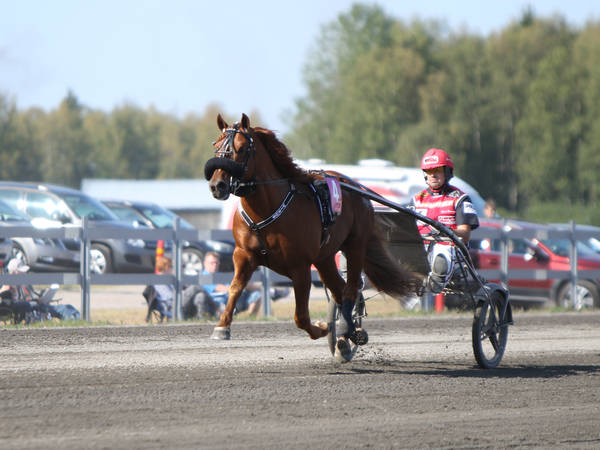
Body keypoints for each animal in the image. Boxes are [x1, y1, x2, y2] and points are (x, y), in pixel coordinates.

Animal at [204, 113, 418, 361]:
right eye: (216, 146)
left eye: (240, 148)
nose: (217, 185)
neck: (268, 209)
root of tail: (355, 187)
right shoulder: (243, 255)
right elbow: (235, 289)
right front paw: (222, 326)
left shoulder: (300, 267)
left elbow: (301, 316)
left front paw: (323, 328)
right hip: (324, 258)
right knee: (340, 289)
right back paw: (347, 335)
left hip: (355, 245)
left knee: (351, 287)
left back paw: (348, 330)